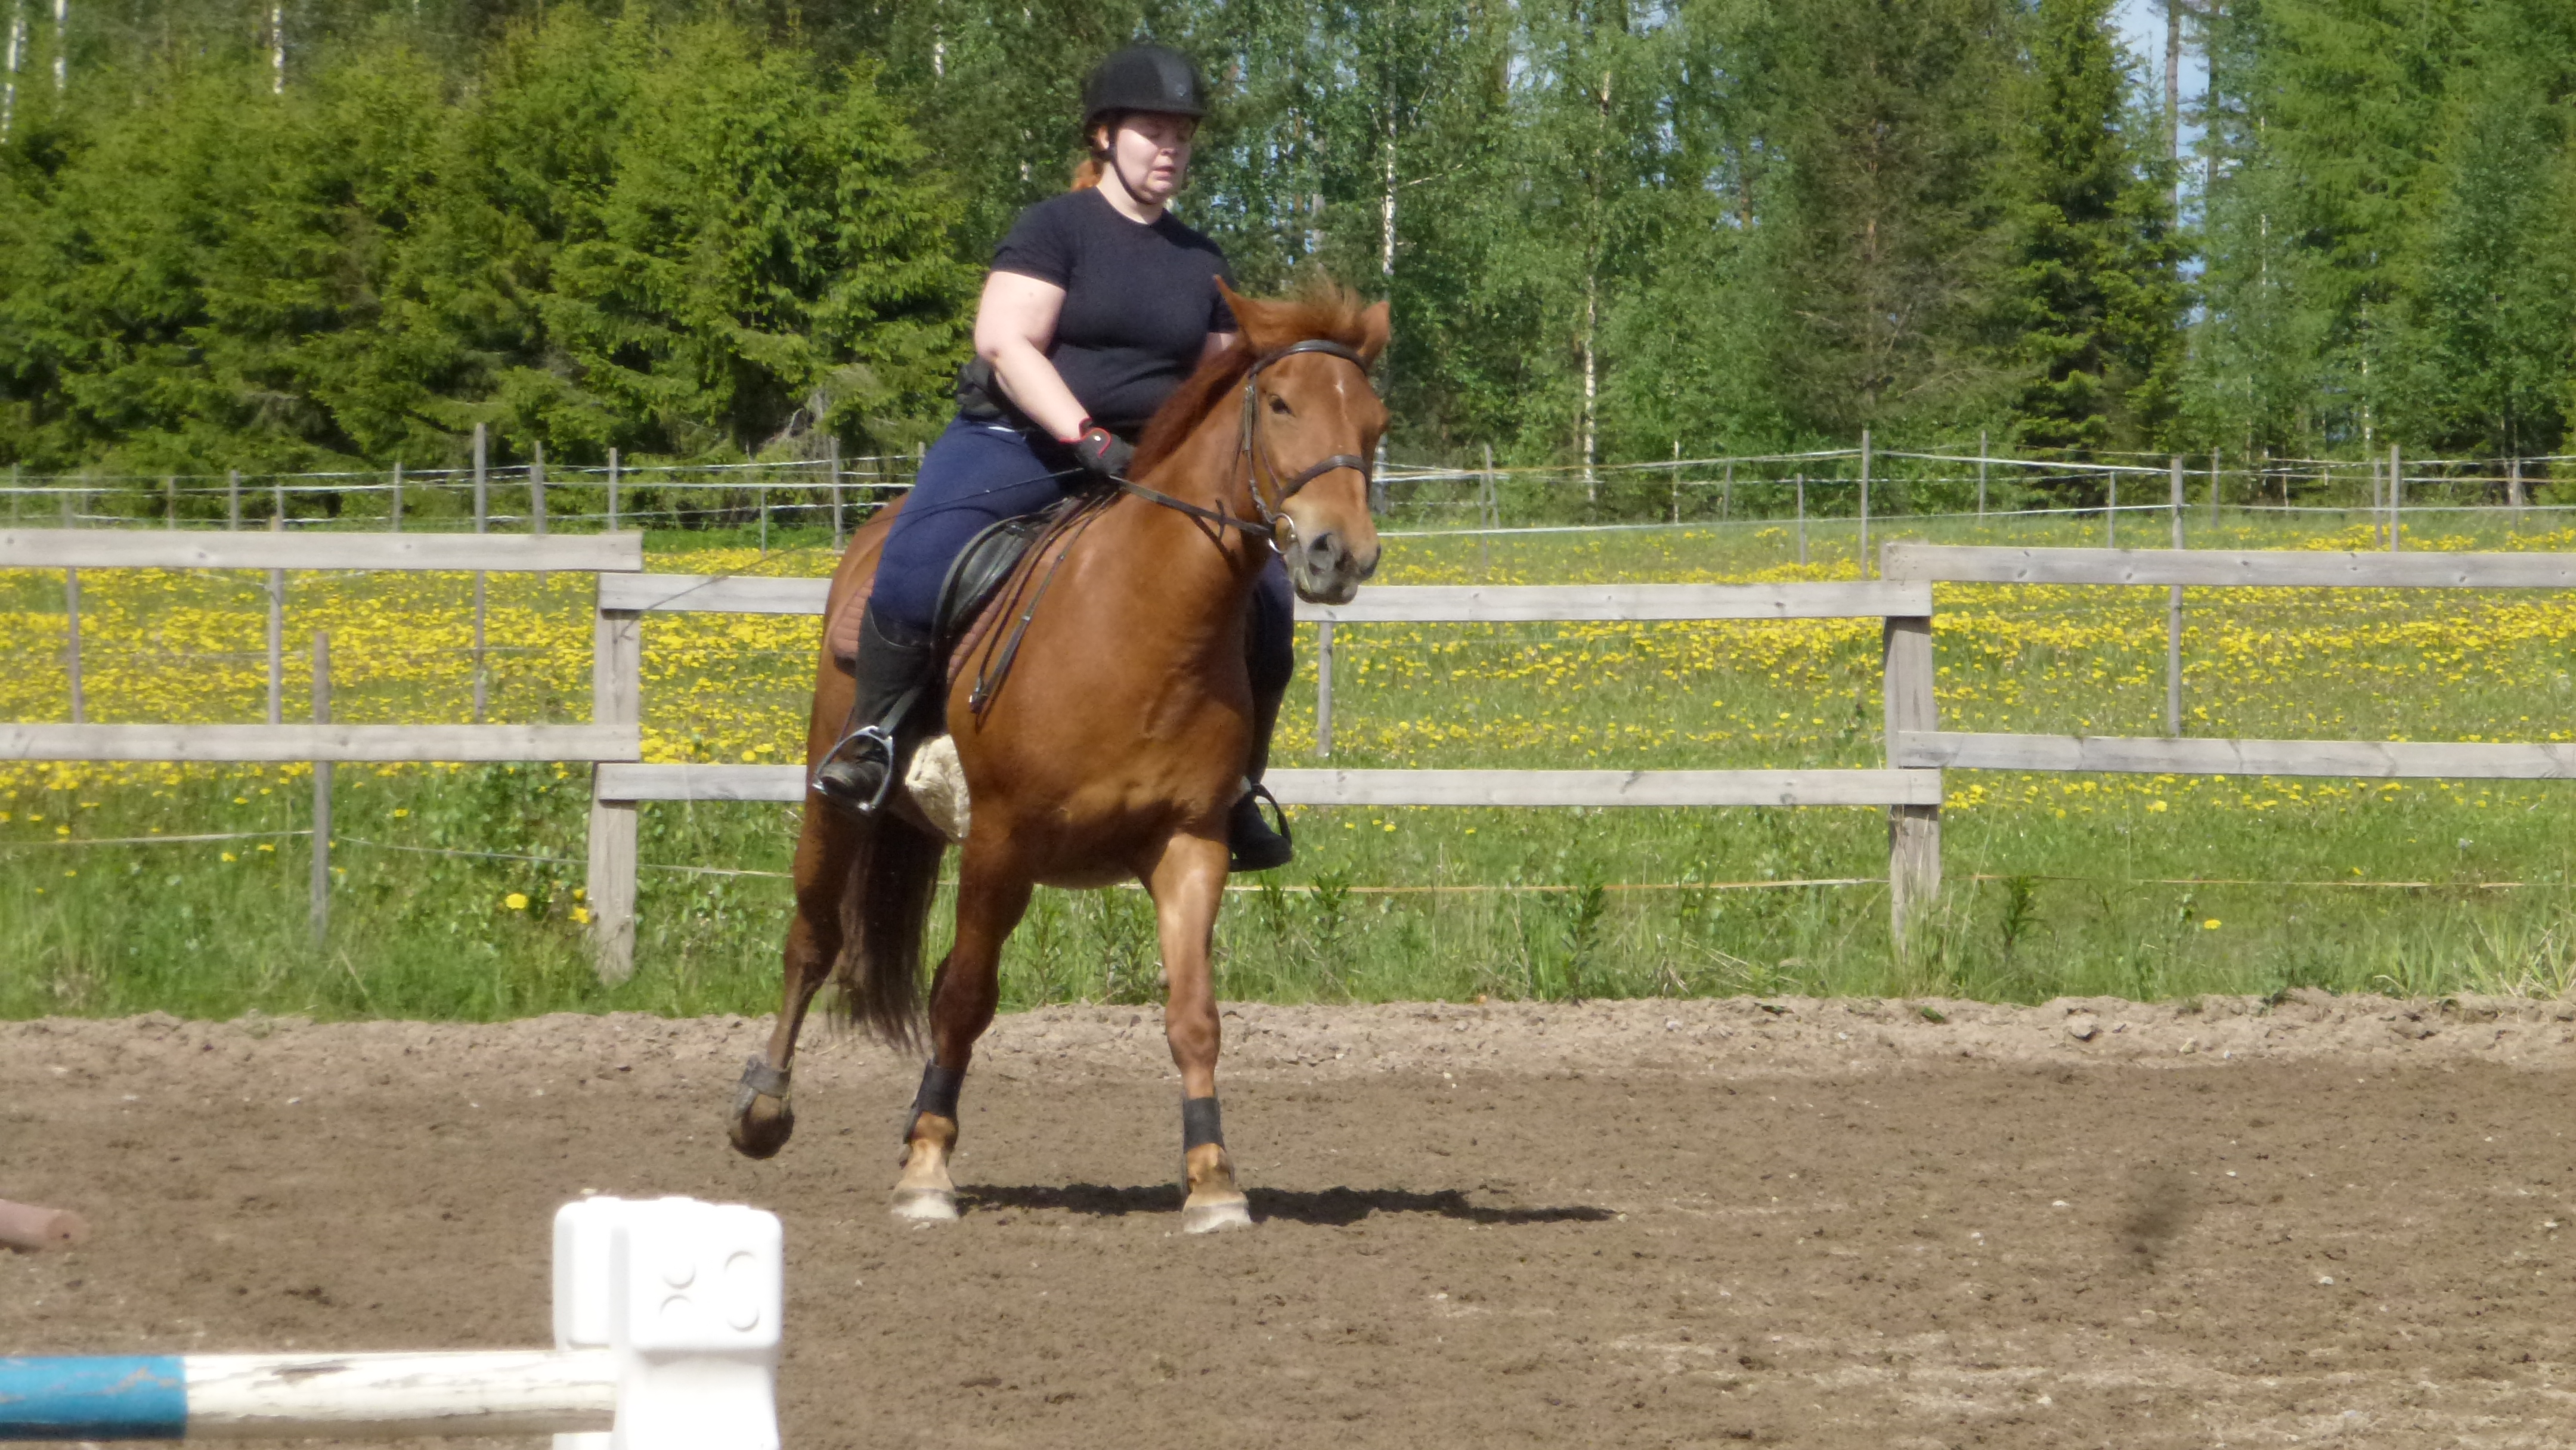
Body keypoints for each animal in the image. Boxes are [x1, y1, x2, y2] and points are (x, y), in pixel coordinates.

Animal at [726, 281, 1388, 1233]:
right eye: (1280, 403)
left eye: (1375, 421)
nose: (1342, 554)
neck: (1144, 624)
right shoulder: (1001, 843)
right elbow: (964, 1000)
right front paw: (927, 1169)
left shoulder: (1192, 844)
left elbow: (1195, 1016)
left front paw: (1212, 1179)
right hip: (835, 803)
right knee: (812, 943)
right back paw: (763, 1106)